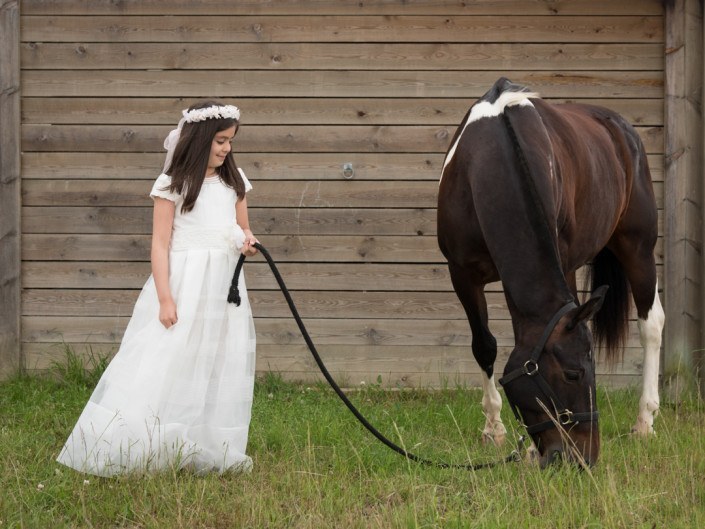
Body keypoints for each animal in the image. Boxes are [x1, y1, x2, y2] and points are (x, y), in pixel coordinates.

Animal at [438, 78, 664, 466]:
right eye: (574, 374)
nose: (584, 457)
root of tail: (621, 128)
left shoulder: (564, 260)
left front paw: (527, 447)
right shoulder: (462, 275)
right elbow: (484, 345)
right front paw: (493, 430)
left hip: (638, 248)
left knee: (651, 324)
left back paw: (644, 421)